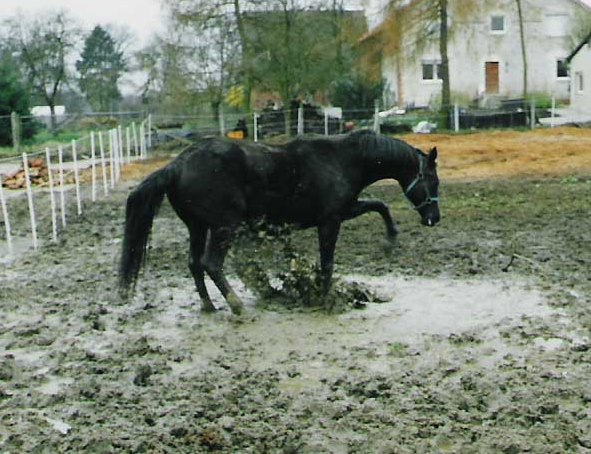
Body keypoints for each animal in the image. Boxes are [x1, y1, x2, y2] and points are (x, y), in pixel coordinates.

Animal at [119, 130, 440, 316]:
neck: (341, 159)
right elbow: (327, 263)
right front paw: (325, 299)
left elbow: (379, 205)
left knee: (195, 264)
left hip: (197, 227)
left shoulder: (344, 210)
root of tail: (176, 165)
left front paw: (390, 239)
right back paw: (236, 306)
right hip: (224, 227)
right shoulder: (330, 220)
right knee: (211, 264)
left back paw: (209, 305)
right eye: (433, 181)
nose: (434, 218)